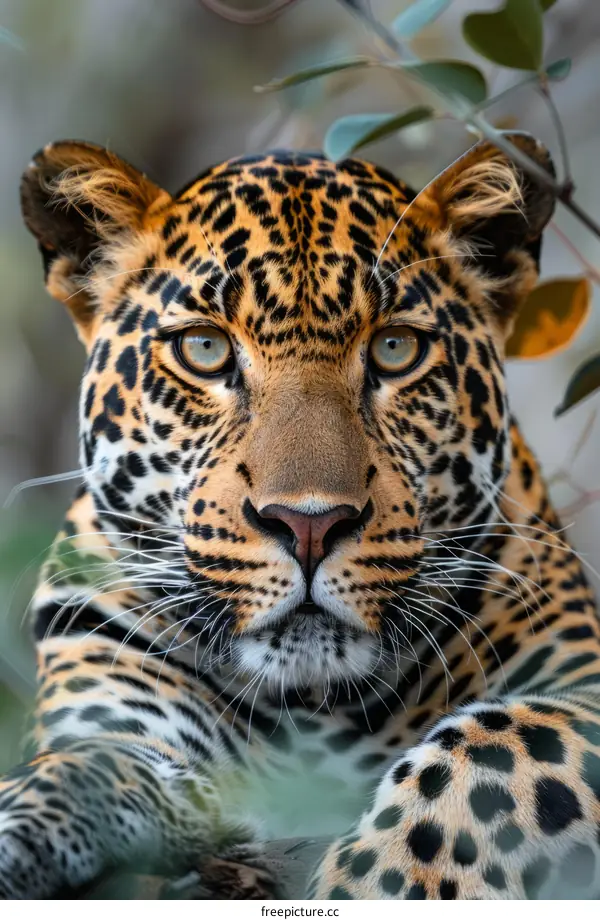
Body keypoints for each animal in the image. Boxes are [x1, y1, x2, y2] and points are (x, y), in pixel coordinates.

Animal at [1, 132, 600, 899]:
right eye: (205, 349)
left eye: (395, 348)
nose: (309, 524)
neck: (320, 704)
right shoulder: (112, 686)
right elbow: (86, 761)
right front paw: (22, 827)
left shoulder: (578, 687)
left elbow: (493, 754)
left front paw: (377, 883)